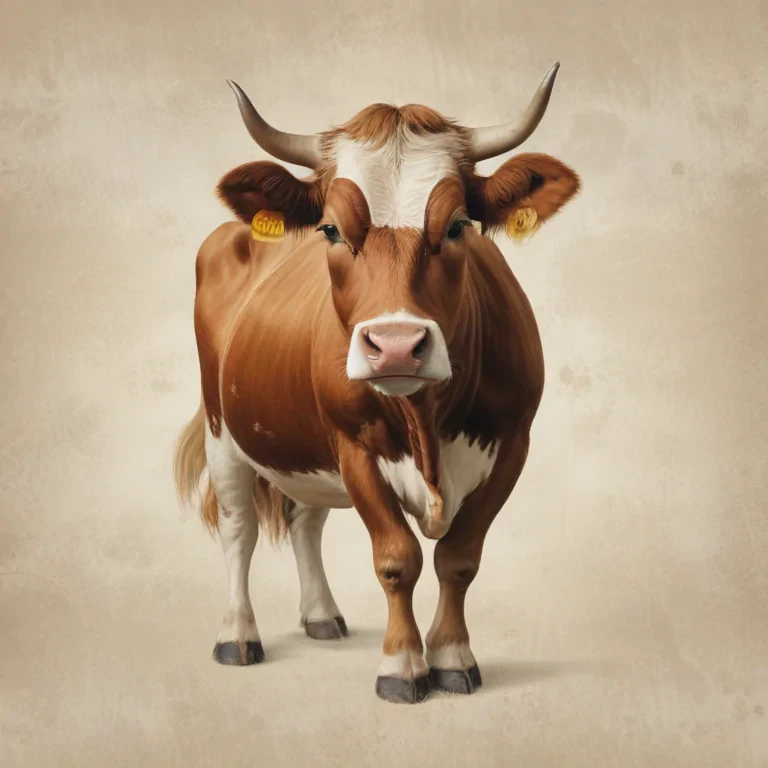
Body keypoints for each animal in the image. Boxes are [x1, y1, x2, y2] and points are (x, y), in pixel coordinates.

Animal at [173, 62, 580, 704]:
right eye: (331, 230)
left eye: (458, 226)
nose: (394, 344)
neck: (427, 425)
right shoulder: (355, 447)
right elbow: (397, 559)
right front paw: (402, 666)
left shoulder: (514, 444)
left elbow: (459, 559)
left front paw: (453, 658)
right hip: (224, 429)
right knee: (239, 529)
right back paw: (237, 636)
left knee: (305, 520)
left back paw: (321, 616)